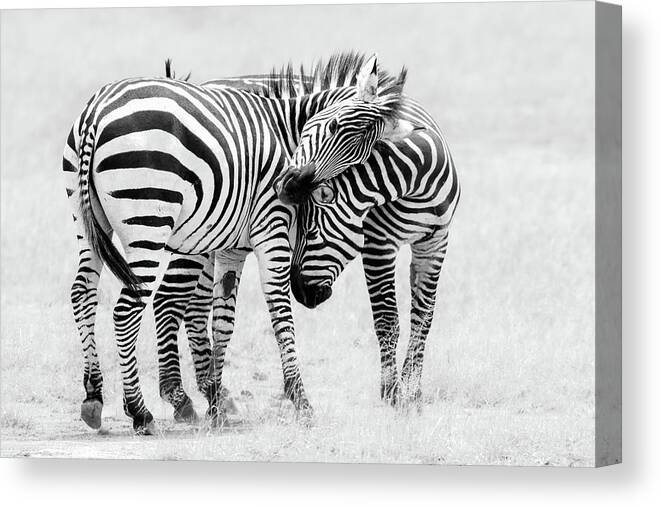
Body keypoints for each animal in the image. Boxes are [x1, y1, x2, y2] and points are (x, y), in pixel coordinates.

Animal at [63, 51, 412, 434]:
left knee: (83, 294)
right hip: (149, 221)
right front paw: (301, 400)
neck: (285, 130)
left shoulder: (233, 246)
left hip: (88, 222)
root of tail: (98, 111)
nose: (290, 187)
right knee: (127, 309)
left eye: (357, 157)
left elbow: (223, 320)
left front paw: (217, 402)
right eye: (334, 126)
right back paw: (140, 411)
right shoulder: (271, 229)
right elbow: (279, 310)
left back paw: (94, 397)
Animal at [151, 53, 458, 422]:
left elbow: (423, 318)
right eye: (331, 127)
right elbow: (387, 319)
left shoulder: (435, 244)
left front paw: (413, 393)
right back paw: (181, 397)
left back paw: (216, 395)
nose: (291, 187)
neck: (415, 186)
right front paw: (391, 394)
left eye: (310, 231)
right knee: (168, 297)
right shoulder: (377, 245)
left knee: (195, 307)